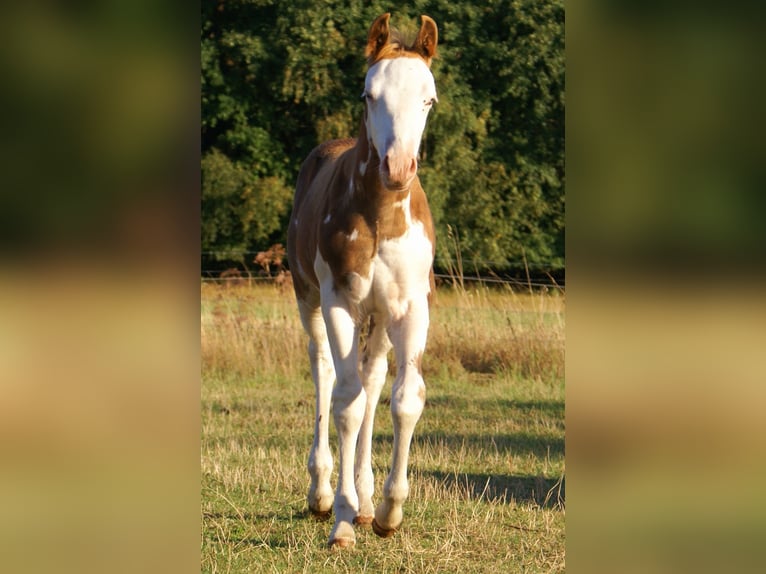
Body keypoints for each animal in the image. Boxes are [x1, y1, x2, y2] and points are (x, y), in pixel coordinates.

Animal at [287, 13, 439, 549]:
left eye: (429, 98)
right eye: (368, 94)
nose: (397, 168)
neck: (380, 217)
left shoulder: (411, 307)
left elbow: (404, 399)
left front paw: (389, 511)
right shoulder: (339, 301)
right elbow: (346, 402)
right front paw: (343, 521)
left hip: (377, 317)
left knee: (373, 380)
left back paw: (368, 499)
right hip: (311, 300)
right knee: (325, 372)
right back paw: (323, 494)